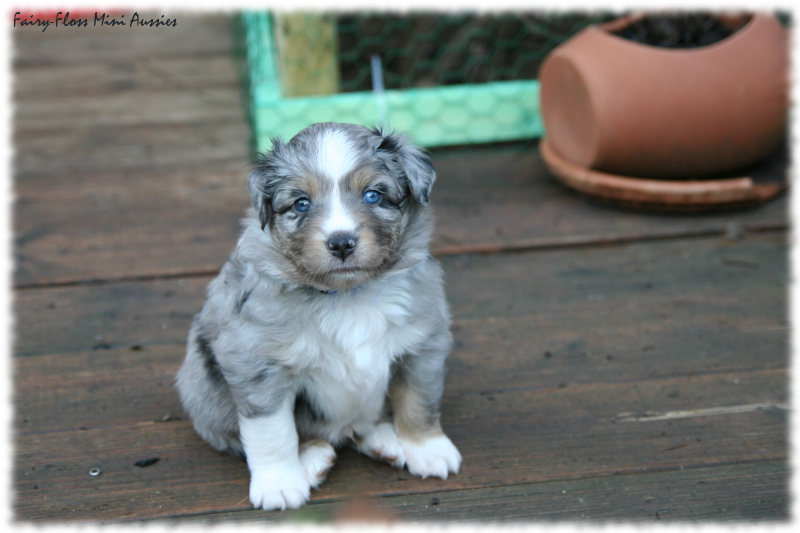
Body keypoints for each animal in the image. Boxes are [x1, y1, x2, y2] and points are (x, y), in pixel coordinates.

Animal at [175, 122, 462, 510]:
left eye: (373, 196)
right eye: (301, 203)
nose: (341, 243)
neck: (348, 296)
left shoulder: (423, 343)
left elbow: (420, 400)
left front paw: (428, 449)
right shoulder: (255, 362)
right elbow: (272, 431)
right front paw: (279, 484)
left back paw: (383, 440)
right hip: (201, 390)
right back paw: (314, 458)